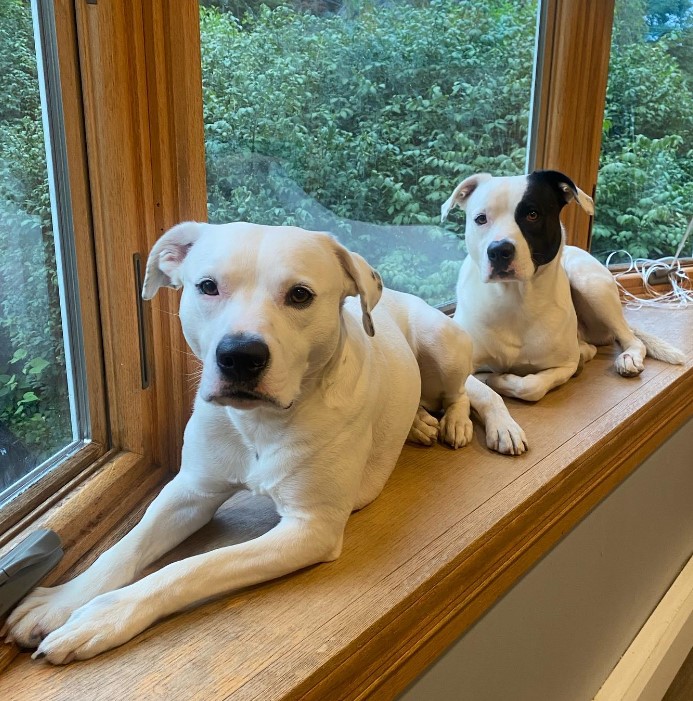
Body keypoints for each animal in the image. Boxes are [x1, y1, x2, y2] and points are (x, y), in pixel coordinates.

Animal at [2, 220, 528, 660]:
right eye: (207, 286)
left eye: (300, 295)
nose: (240, 355)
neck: (260, 423)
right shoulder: (188, 491)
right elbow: (126, 547)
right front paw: (64, 599)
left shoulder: (308, 528)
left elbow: (194, 567)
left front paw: (105, 615)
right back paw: (419, 422)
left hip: (442, 346)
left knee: (468, 389)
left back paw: (468, 423)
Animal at [440, 168, 684, 400]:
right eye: (481, 218)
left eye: (532, 214)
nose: (499, 250)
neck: (514, 298)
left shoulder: (565, 365)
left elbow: (531, 386)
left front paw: (501, 378)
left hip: (589, 283)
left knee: (629, 338)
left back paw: (627, 357)